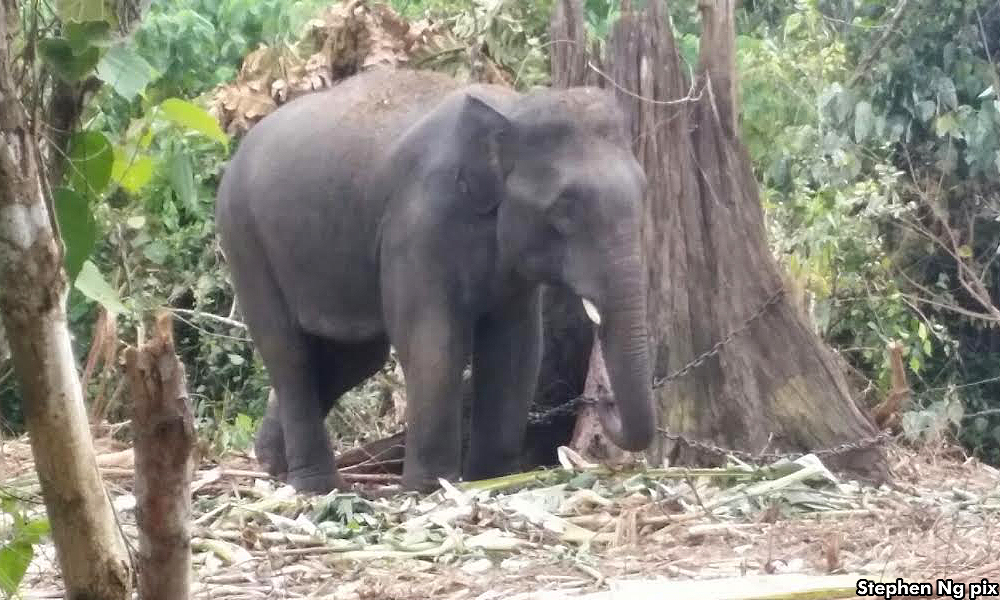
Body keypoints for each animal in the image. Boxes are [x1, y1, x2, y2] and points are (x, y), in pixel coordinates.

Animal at [215, 67, 655, 493]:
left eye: (643, 191)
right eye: (564, 208)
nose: (602, 398)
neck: (514, 108)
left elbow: (517, 348)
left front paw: (492, 480)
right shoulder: (420, 224)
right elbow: (434, 341)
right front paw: (431, 488)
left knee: (355, 356)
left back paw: (271, 462)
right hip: (245, 240)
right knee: (287, 351)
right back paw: (317, 487)